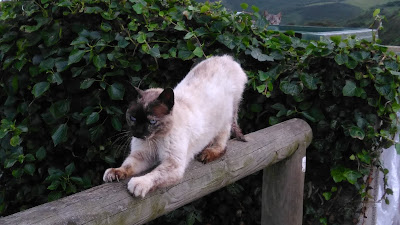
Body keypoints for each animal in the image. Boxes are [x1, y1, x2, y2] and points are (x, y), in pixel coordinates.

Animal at [103, 55, 247, 198]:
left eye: (152, 121)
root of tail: (227, 58)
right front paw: (114, 172)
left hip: (225, 120)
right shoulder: (143, 155)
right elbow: (127, 165)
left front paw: (138, 184)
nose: (138, 133)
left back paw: (207, 154)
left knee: (222, 145)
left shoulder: (173, 164)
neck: (156, 139)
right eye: (133, 118)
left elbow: (154, 174)